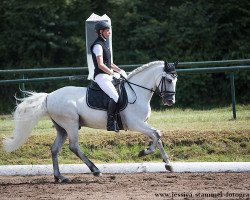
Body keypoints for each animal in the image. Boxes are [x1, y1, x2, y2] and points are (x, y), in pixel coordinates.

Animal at [1, 60, 178, 182]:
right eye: (169, 80)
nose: (170, 101)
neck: (136, 91)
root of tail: (49, 96)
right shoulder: (136, 124)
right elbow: (156, 134)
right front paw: (145, 152)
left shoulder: (142, 124)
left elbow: (157, 136)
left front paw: (168, 164)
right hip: (71, 124)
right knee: (73, 146)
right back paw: (95, 170)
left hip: (62, 128)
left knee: (54, 149)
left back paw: (60, 177)